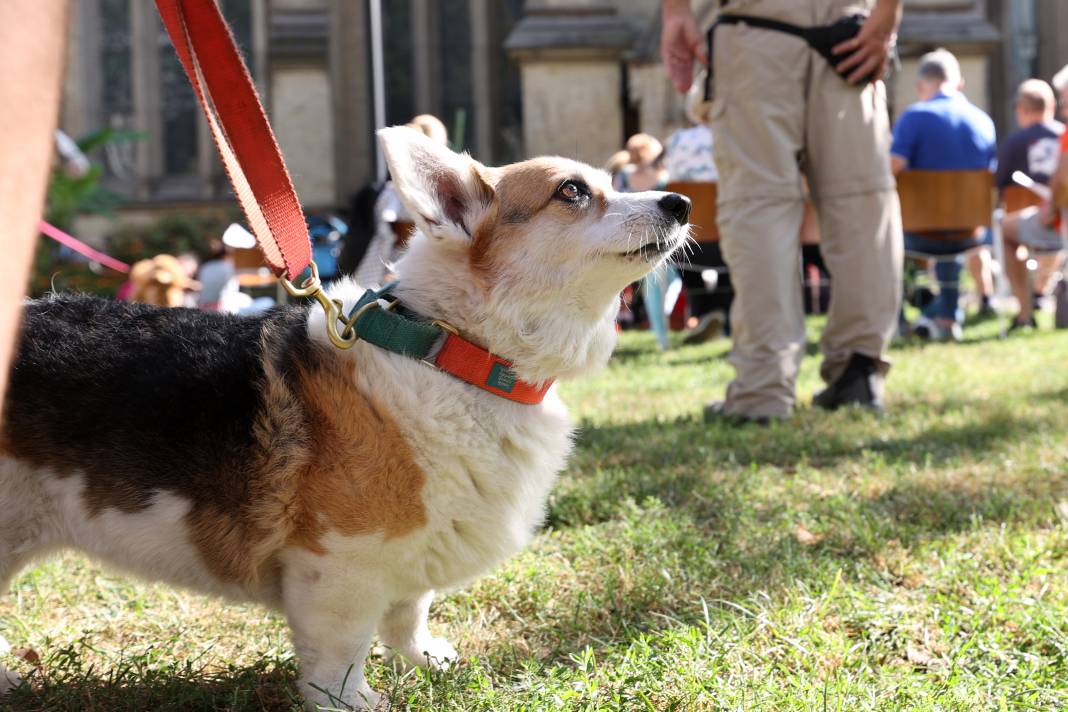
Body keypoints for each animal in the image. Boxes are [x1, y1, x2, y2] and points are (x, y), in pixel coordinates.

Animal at [0, 126, 692, 708]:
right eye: (572, 191)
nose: (681, 203)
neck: (453, 350)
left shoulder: (410, 552)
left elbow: (410, 612)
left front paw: (425, 659)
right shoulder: (340, 567)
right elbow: (340, 653)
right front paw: (352, 702)